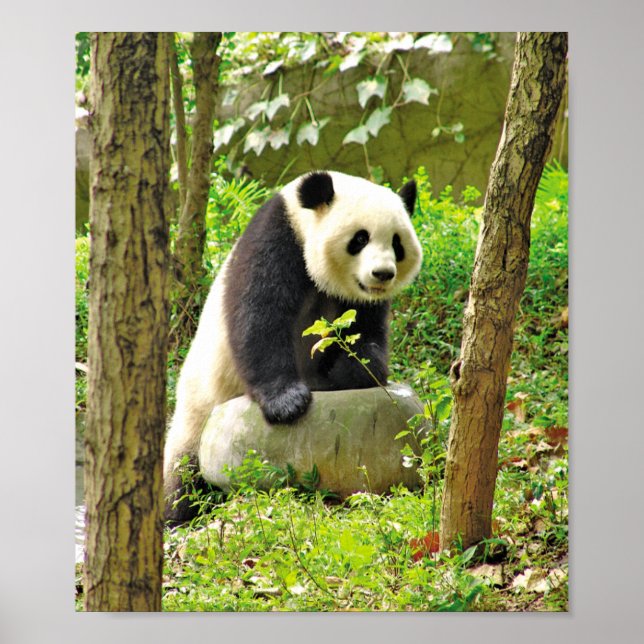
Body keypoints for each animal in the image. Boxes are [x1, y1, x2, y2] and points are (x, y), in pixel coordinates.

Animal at [164, 170, 423, 522]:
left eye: (397, 243)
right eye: (360, 239)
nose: (382, 274)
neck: (300, 216)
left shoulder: (362, 300)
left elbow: (365, 331)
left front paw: (347, 372)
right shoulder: (276, 238)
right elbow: (259, 315)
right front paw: (287, 403)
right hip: (201, 414)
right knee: (182, 473)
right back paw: (176, 515)